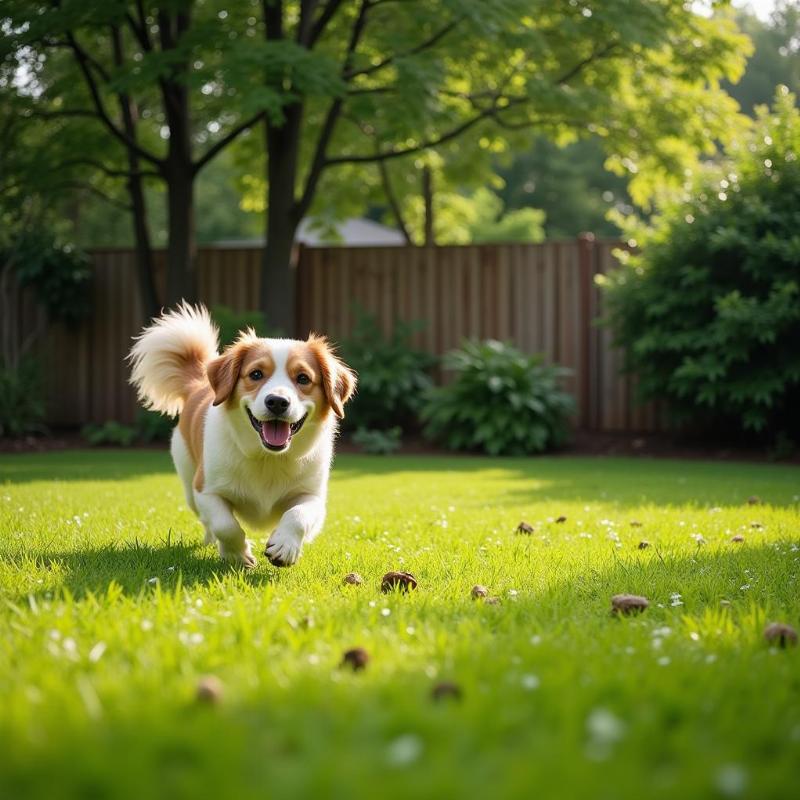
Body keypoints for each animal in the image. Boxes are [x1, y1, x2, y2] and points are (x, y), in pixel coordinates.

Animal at [129, 302, 356, 568]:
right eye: (256, 374)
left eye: (303, 378)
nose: (277, 402)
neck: (267, 458)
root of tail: (198, 385)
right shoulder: (205, 490)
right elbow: (225, 525)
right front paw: (237, 554)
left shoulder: (313, 496)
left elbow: (297, 515)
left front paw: (285, 547)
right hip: (188, 483)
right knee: (208, 522)